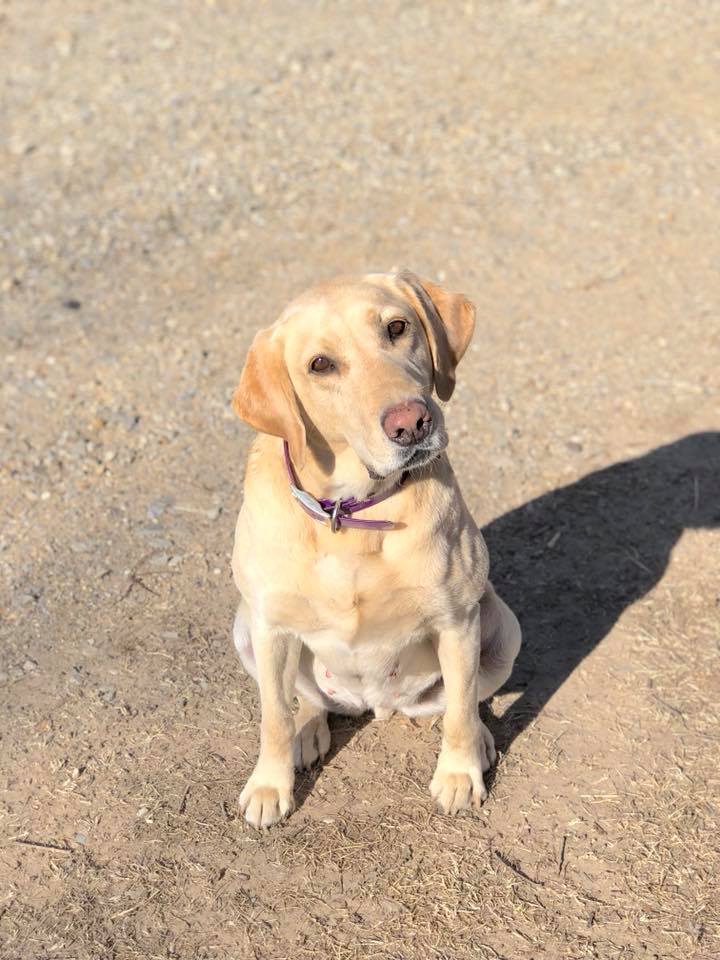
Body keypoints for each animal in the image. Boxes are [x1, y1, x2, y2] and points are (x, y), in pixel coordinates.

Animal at [233, 268, 520, 824]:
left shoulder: (457, 621)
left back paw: (479, 741)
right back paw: (310, 731)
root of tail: (376, 705)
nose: (412, 423)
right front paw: (268, 786)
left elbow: (459, 708)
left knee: (467, 698)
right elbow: (274, 717)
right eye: (320, 364)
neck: (351, 514)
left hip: (501, 625)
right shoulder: (269, 627)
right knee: (306, 700)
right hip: (244, 630)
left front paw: (459, 774)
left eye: (397, 327)